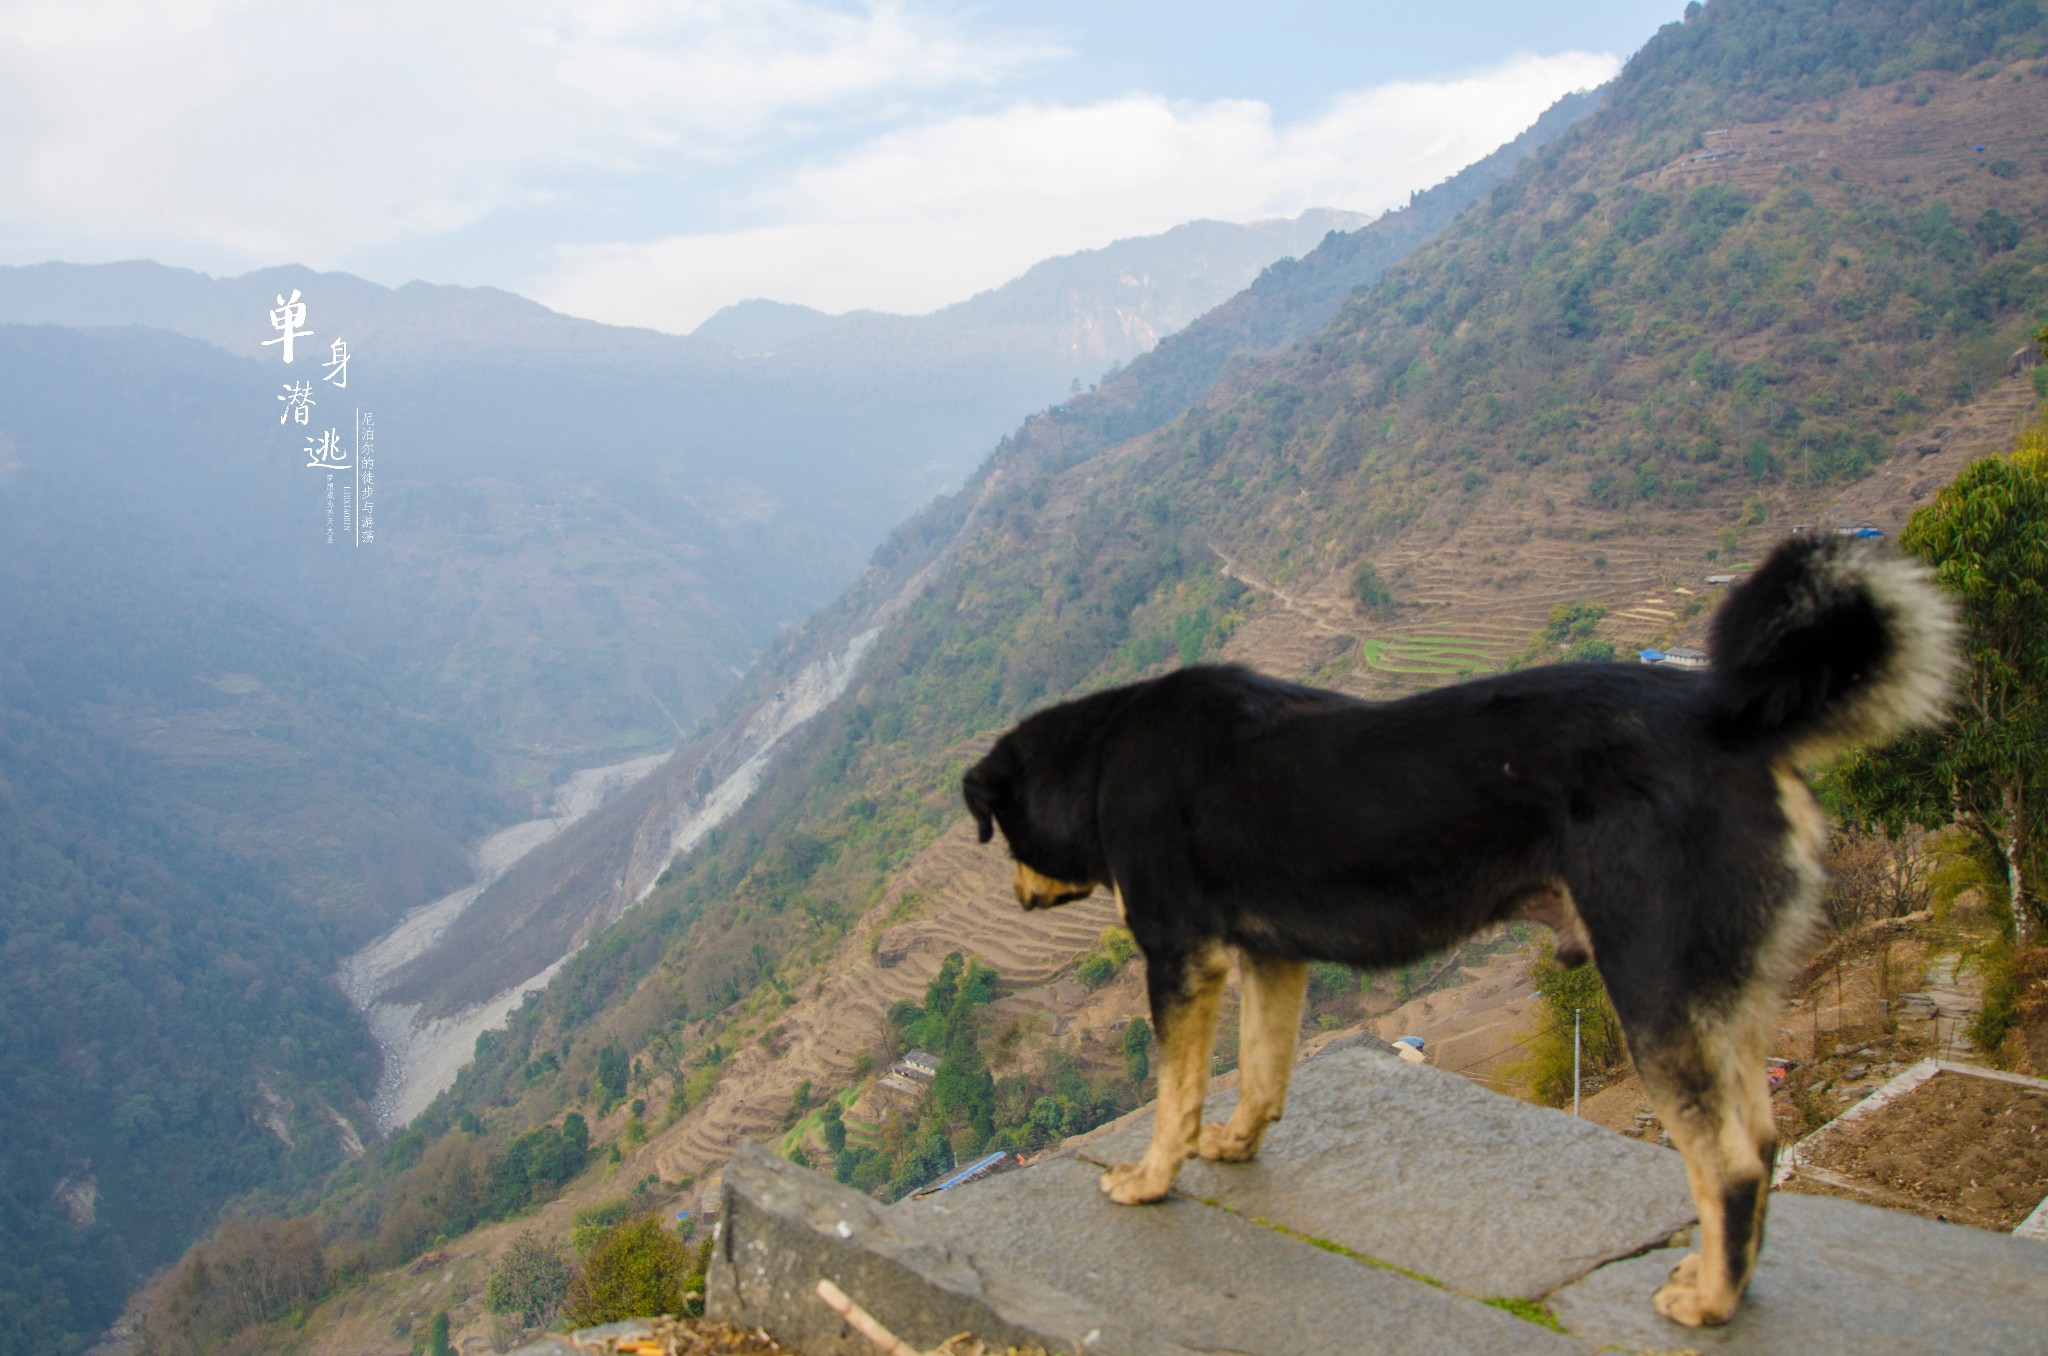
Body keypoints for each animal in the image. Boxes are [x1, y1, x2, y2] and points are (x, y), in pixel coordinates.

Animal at [958, 536, 1949, 1335]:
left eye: (1001, 832)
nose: (1013, 896)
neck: (1101, 758)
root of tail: (1734, 723)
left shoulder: (1178, 957)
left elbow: (1176, 1092)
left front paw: (1152, 1178)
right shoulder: (1272, 956)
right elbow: (1265, 1068)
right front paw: (1238, 1144)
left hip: (1653, 980)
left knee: (1733, 1158)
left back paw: (1710, 1302)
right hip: (1720, 980)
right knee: (1764, 1138)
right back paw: (1728, 1279)